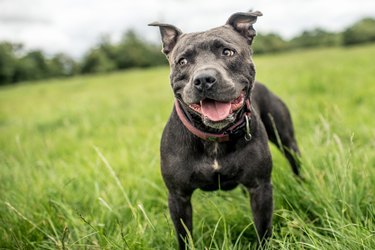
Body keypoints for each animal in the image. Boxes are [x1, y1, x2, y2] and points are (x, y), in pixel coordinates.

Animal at [151, 10, 302, 249]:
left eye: (227, 52)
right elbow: (184, 235)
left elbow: (263, 230)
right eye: (182, 61)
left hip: (287, 141)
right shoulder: (178, 196)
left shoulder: (260, 187)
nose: (204, 79)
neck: (213, 136)